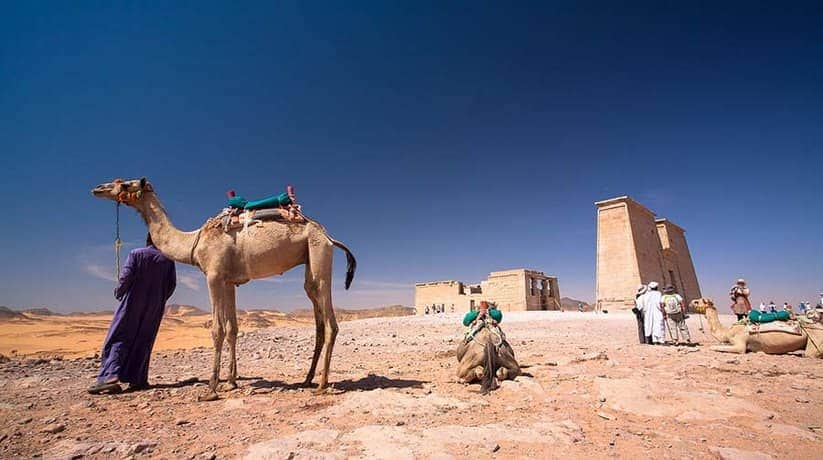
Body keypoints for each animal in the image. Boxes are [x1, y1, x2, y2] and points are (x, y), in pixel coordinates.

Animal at [94, 178, 358, 400]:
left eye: (124, 184)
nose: (98, 188)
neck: (194, 242)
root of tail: (328, 236)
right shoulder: (229, 282)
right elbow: (232, 329)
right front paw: (231, 381)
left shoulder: (213, 276)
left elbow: (217, 329)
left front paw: (211, 389)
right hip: (309, 261)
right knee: (316, 312)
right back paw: (307, 379)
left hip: (319, 252)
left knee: (330, 322)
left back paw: (322, 385)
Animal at [688, 298, 823, 360]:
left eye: (698, 301)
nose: (690, 302)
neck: (727, 332)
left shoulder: (740, 344)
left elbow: (714, 347)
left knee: (809, 354)